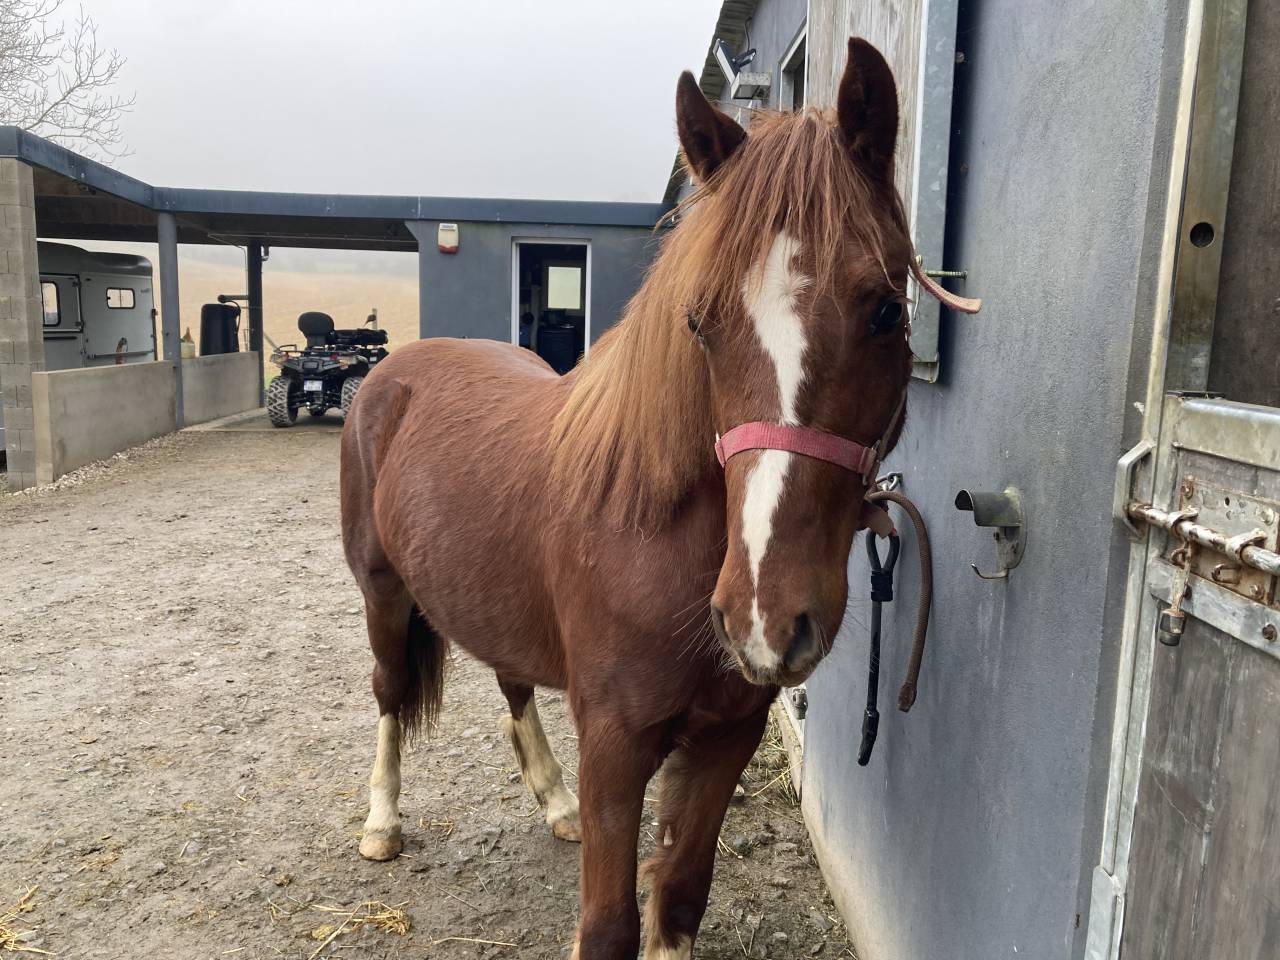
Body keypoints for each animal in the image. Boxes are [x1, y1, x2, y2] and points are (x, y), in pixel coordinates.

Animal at [341, 38, 915, 960]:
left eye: (886, 312)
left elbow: (677, 897)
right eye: (700, 322)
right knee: (391, 693)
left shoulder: (725, 738)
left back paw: (554, 802)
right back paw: (382, 825)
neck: (656, 536)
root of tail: (394, 370)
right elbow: (609, 926)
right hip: (383, 594)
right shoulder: (615, 746)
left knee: (511, 684)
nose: (764, 617)